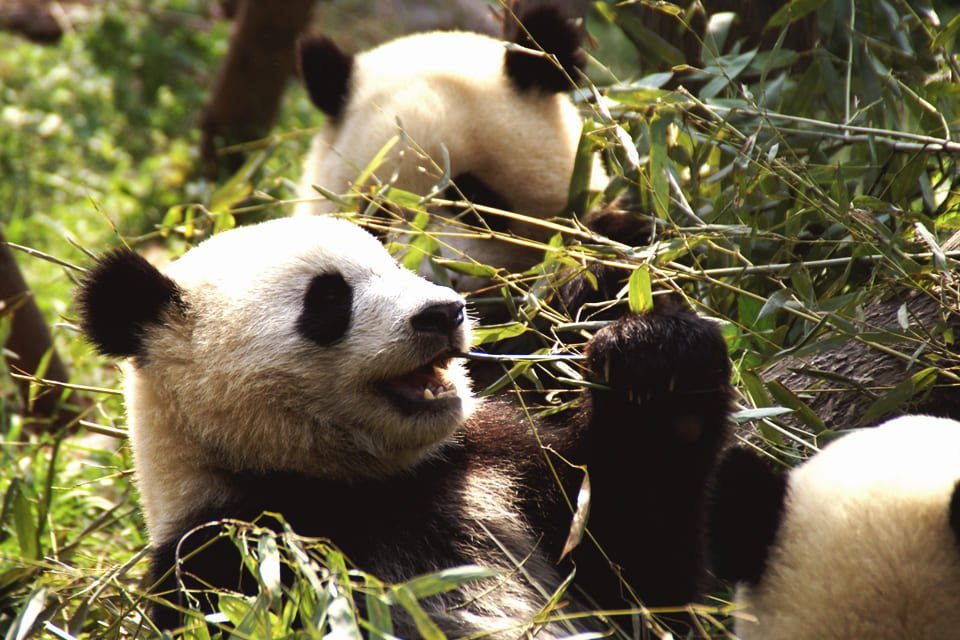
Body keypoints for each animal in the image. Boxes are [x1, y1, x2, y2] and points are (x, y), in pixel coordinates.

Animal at [79, 215, 732, 636]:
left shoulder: (502, 470)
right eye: (328, 300)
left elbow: (638, 570)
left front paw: (658, 358)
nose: (443, 312)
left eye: (395, 266)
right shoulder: (233, 556)